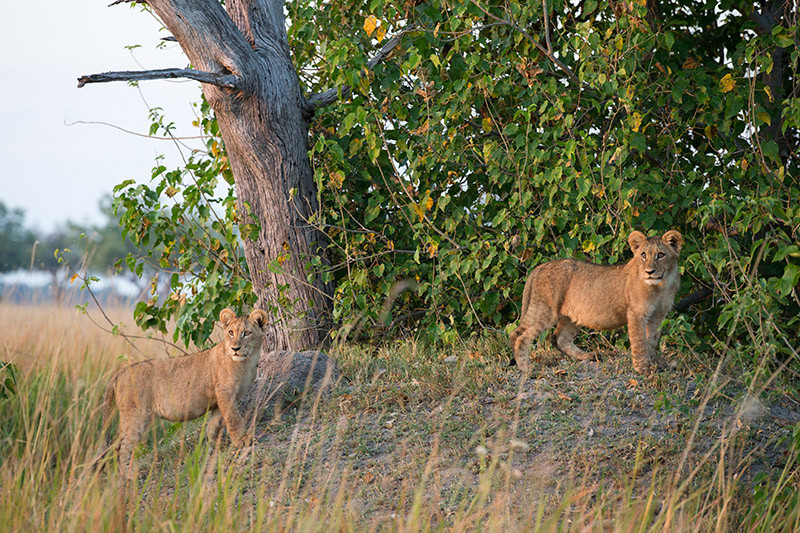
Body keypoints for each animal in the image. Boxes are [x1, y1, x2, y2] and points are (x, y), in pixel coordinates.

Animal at [97, 308, 268, 480]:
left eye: (247, 333)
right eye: (231, 333)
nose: (235, 349)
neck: (247, 363)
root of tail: (122, 371)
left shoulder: (218, 401)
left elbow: (214, 425)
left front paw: (213, 446)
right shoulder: (225, 393)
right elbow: (234, 419)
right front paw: (242, 440)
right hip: (136, 415)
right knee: (122, 446)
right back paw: (131, 476)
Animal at [509, 230, 683, 374]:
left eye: (661, 255)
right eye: (644, 255)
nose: (649, 272)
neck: (661, 285)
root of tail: (539, 267)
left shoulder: (659, 315)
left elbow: (651, 341)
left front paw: (656, 363)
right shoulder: (636, 312)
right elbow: (639, 341)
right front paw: (643, 369)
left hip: (571, 316)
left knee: (559, 338)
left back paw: (588, 356)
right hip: (544, 309)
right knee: (518, 335)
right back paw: (526, 367)